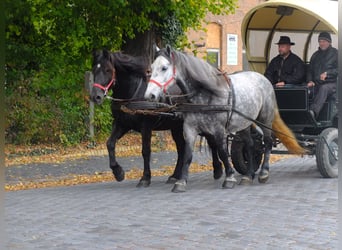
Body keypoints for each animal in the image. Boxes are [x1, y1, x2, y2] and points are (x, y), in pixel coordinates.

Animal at [89, 49, 222, 186]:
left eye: (107, 70)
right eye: (93, 70)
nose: (95, 96)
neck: (133, 93)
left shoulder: (146, 127)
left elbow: (145, 151)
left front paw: (145, 178)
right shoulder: (122, 124)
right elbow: (110, 144)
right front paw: (118, 172)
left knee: (212, 142)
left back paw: (217, 170)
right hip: (176, 127)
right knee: (181, 148)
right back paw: (175, 176)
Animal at [143, 46, 306, 192]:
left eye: (164, 68)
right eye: (152, 67)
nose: (149, 95)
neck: (206, 94)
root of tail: (264, 79)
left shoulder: (219, 129)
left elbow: (222, 152)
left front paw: (229, 177)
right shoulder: (189, 128)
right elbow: (188, 154)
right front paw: (181, 181)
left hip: (265, 118)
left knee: (267, 142)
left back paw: (264, 173)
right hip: (244, 122)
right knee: (250, 145)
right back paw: (248, 175)